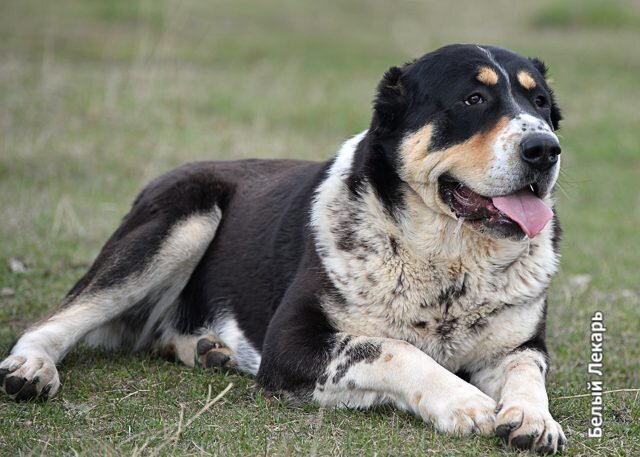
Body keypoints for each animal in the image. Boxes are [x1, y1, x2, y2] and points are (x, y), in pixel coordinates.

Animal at [2, 43, 568, 452]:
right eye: (473, 100)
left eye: (540, 103)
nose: (544, 149)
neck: (449, 260)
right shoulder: (289, 348)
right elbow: (393, 348)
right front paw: (464, 402)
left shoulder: (519, 345)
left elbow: (527, 372)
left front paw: (532, 416)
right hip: (181, 220)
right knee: (59, 318)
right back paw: (31, 368)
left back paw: (207, 350)